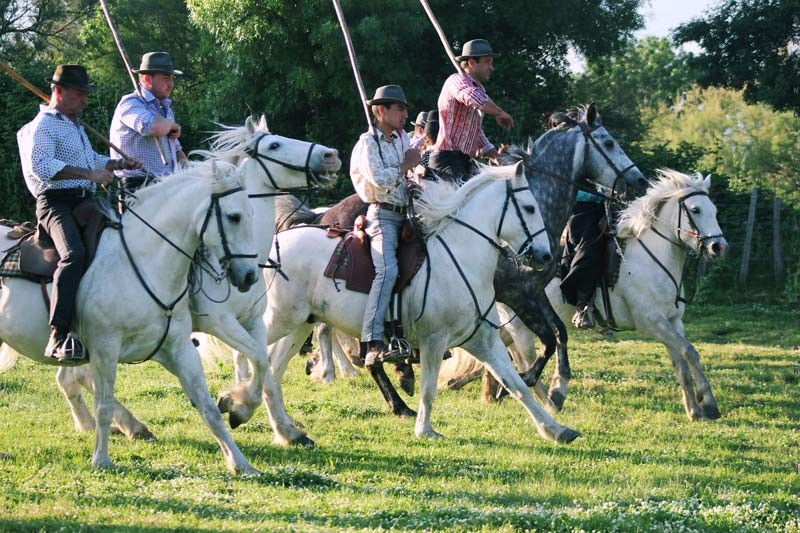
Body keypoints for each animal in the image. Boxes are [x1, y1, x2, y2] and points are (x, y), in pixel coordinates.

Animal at [0, 162, 262, 474]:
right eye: (234, 217)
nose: (250, 276)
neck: (142, 262)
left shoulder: (179, 349)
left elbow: (208, 406)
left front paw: (241, 462)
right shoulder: (105, 347)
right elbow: (103, 405)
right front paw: (101, 459)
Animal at [39, 115, 342, 444]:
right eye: (274, 144)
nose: (331, 155)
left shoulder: (253, 321)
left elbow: (264, 366)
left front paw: (282, 427)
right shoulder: (219, 322)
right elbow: (258, 361)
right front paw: (237, 405)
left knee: (74, 375)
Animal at [260, 162, 584, 444]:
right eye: (529, 208)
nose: (545, 256)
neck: (460, 257)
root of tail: (274, 244)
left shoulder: (484, 341)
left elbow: (517, 385)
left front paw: (555, 429)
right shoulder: (434, 341)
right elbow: (429, 389)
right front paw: (425, 430)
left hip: (299, 326)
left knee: (272, 371)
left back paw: (289, 431)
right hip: (278, 321)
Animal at [278, 105, 648, 416]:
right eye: (608, 142)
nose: (640, 181)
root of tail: (324, 215)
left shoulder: (532, 291)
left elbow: (557, 334)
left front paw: (551, 387)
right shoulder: (515, 293)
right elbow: (544, 338)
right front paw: (531, 384)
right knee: (341, 332)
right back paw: (356, 373)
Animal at [440, 169, 728, 420]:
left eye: (714, 210)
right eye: (695, 210)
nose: (719, 246)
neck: (651, 258)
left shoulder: (672, 322)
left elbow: (682, 363)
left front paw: (694, 409)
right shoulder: (652, 322)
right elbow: (690, 351)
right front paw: (709, 404)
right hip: (520, 323)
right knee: (524, 359)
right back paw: (549, 399)